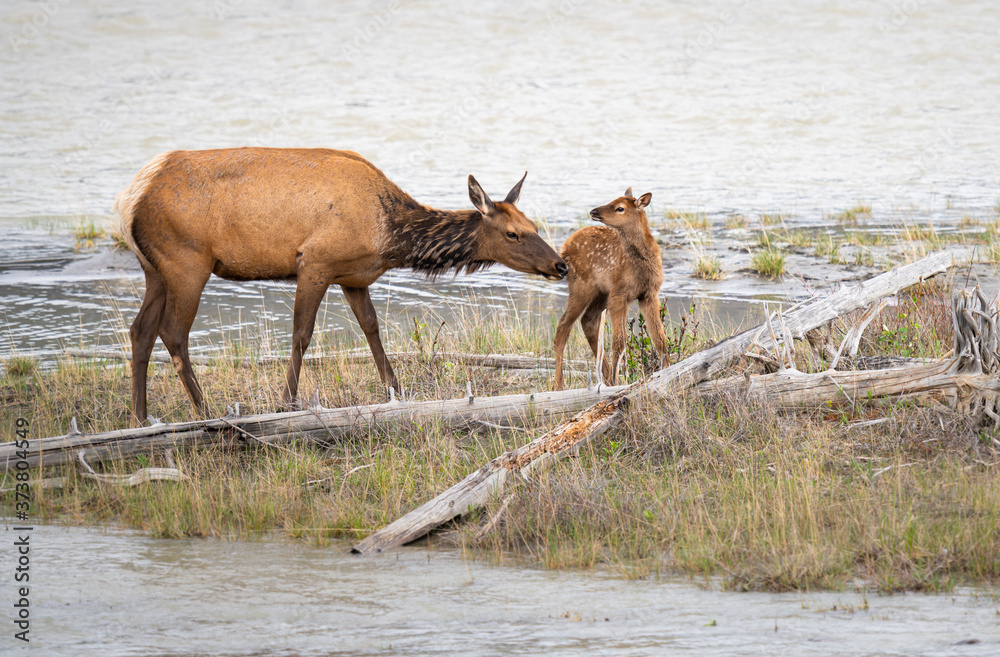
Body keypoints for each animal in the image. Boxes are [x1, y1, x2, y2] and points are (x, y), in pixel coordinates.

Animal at [115, 147, 568, 425]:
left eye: (532, 224)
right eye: (512, 233)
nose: (560, 265)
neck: (390, 236)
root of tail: (130, 198)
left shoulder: (353, 277)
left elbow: (372, 329)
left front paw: (396, 393)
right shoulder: (314, 262)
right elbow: (301, 334)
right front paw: (287, 403)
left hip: (154, 269)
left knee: (140, 331)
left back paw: (139, 416)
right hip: (187, 261)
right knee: (173, 333)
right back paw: (208, 411)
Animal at [553, 188, 669, 390]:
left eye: (620, 208)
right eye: (612, 201)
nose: (593, 211)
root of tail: (564, 248)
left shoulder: (649, 294)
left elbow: (659, 338)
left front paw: (670, 368)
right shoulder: (619, 293)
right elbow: (619, 342)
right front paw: (617, 380)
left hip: (600, 292)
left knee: (587, 321)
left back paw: (604, 378)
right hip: (582, 286)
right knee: (563, 325)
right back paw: (559, 385)